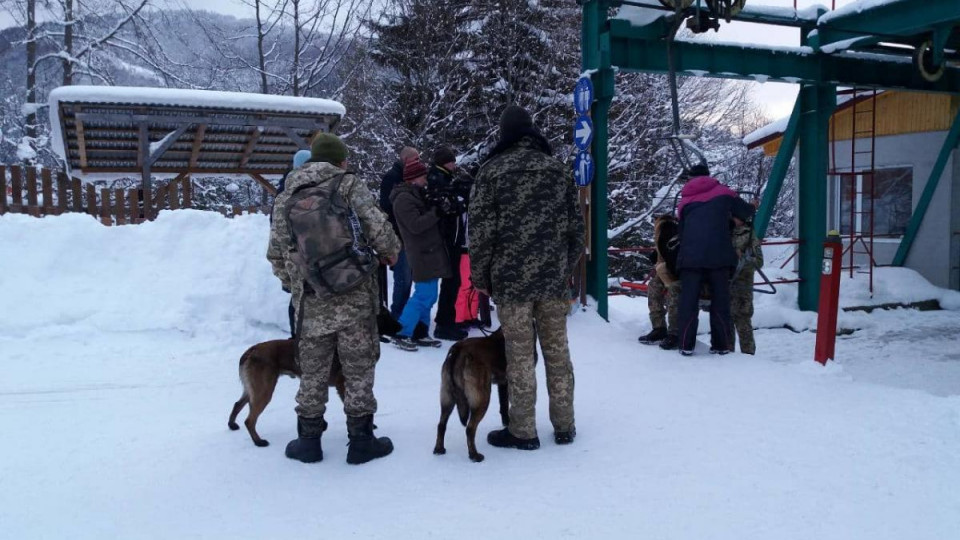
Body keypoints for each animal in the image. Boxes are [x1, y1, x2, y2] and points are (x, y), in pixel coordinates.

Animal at [434, 326, 510, 462]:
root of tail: (459, 349)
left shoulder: (503, 383)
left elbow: (504, 405)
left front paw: (506, 422)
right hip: (482, 398)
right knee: (470, 428)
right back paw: (474, 455)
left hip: (447, 396)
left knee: (441, 424)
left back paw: (439, 449)